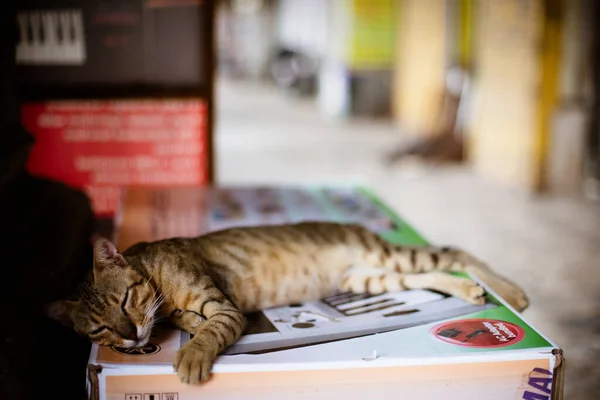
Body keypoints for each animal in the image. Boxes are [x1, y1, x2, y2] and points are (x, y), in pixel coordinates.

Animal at [44, 222, 528, 384]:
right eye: (99, 328)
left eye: (125, 298)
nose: (130, 335)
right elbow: (189, 321)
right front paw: (180, 329)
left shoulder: (223, 307)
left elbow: (211, 330)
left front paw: (192, 357)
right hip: (369, 275)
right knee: (429, 276)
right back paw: (472, 293)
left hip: (387, 257)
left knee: (459, 254)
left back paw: (514, 294)